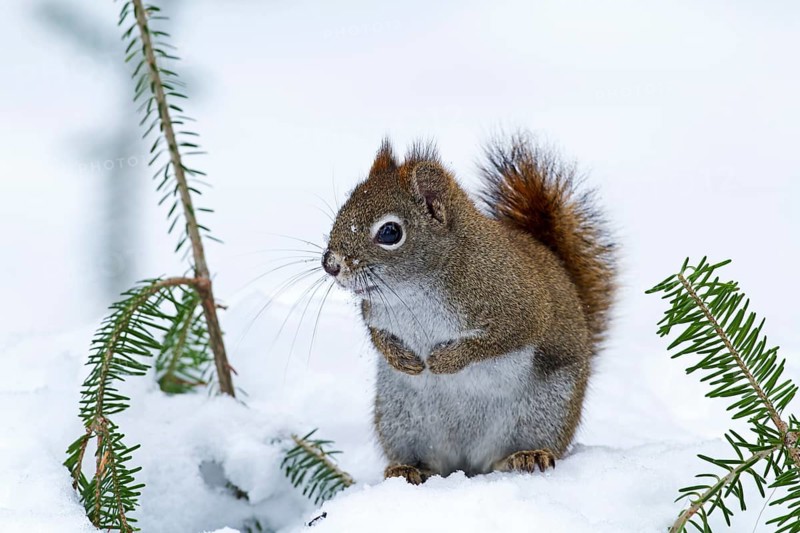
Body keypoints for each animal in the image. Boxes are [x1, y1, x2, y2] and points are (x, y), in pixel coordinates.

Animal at [321, 132, 616, 484]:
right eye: (342, 211)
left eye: (390, 232)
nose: (330, 265)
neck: (414, 290)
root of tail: (469, 463)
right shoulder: (375, 312)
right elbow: (377, 334)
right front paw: (402, 359)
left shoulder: (520, 306)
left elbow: (499, 340)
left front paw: (444, 361)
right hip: (400, 419)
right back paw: (408, 468)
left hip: (547, 409)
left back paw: (527, 455)